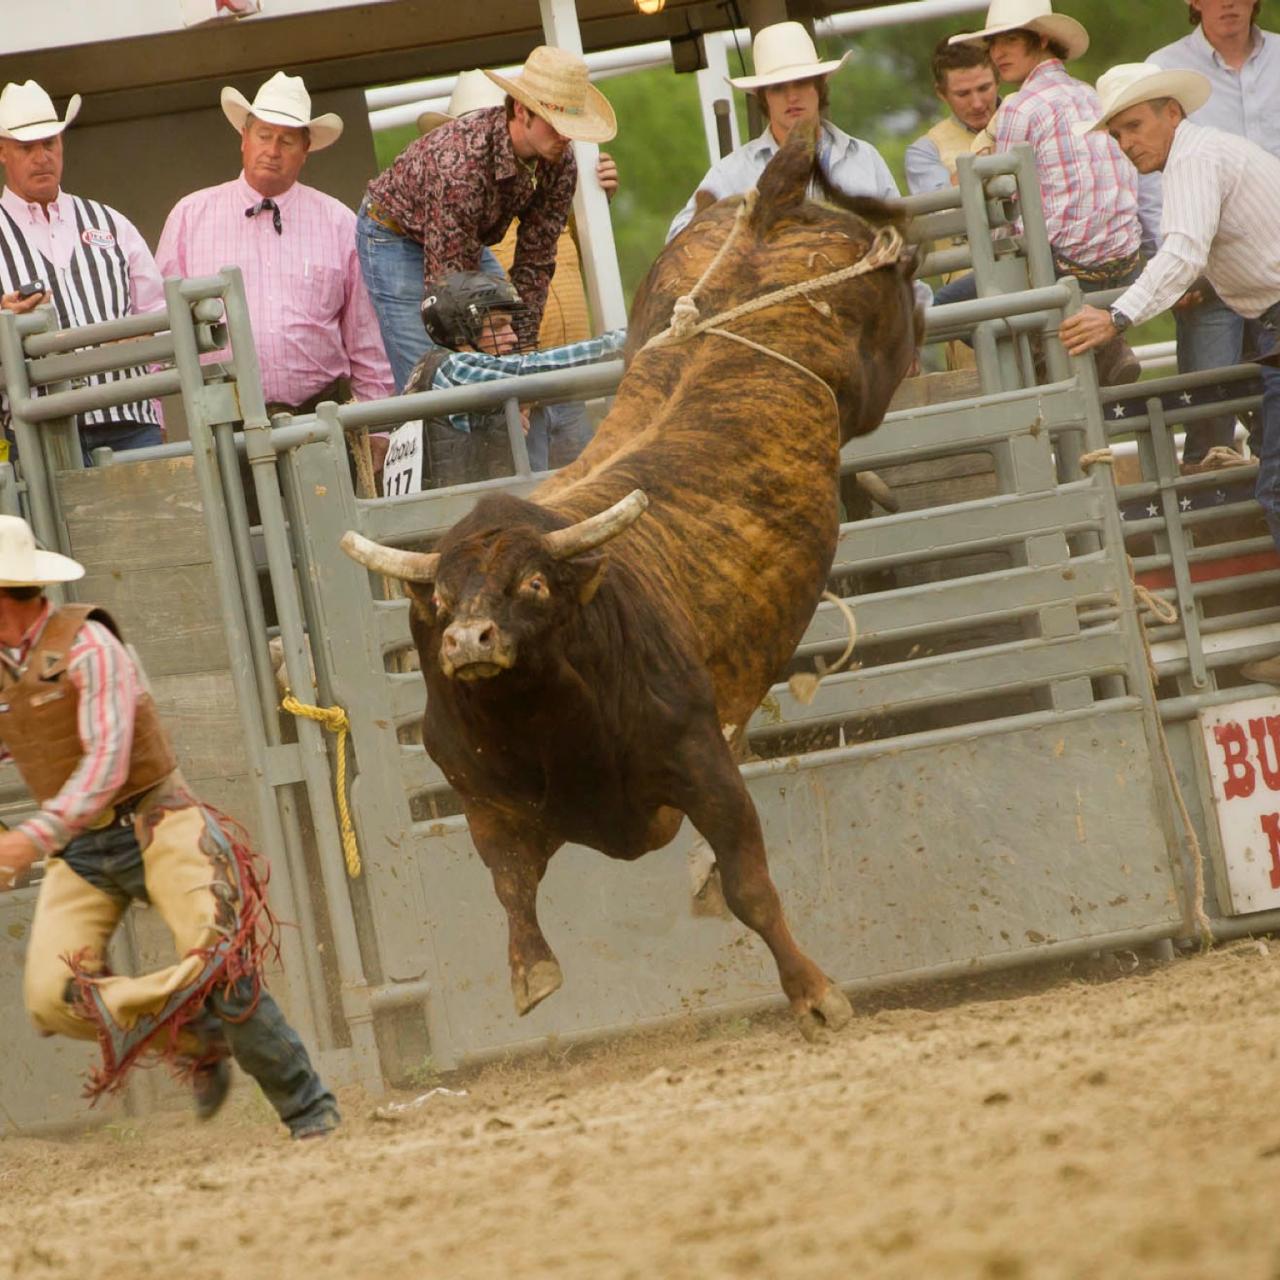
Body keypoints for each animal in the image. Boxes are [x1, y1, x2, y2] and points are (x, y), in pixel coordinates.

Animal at [340, 129, 921, 1039]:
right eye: (440, 601)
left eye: (534, 586)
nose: (470, 641)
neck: (542, 723)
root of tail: (764, 209)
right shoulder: (483, 803)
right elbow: (510, 888)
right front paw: (531, 975)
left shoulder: (701, 764)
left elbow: (749, 886)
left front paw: (815, 993)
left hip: (883, 351)